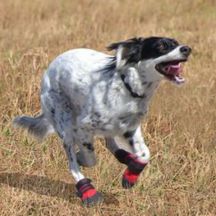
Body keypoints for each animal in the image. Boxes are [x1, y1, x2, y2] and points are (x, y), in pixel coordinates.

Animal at [13, 37, 192, 206]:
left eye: (176, 43)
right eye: (161, 46)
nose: (187, 49)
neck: (127, 87)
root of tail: (51, 66)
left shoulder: (130, 128)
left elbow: (144, 154)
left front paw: (130, 175)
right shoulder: (83, 126)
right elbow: (90, 159)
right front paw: (82, 160)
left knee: (110, 142)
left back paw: (125, 157)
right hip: (64, 124)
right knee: (72, 162)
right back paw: (88, 191)